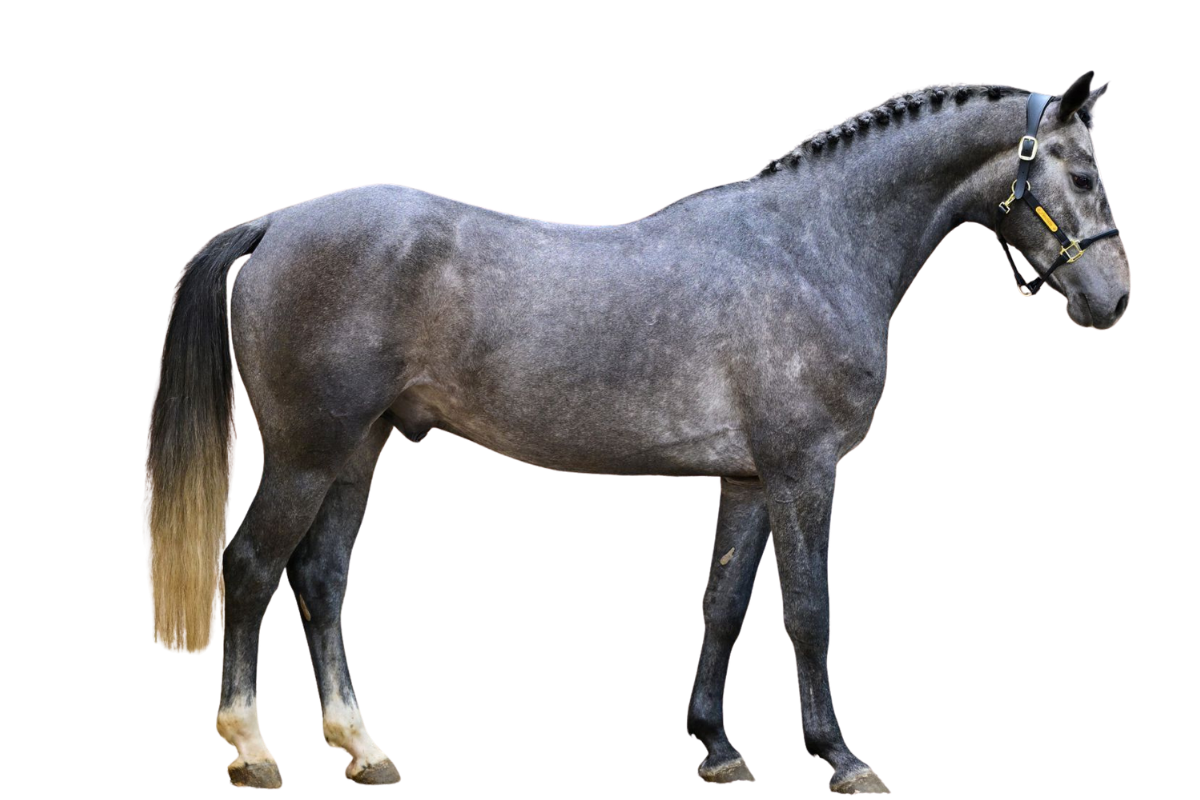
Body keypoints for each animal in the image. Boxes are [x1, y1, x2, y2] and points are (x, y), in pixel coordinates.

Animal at [143, 72, 1128, 792]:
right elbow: (808, 611)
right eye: (1081, 175)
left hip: (358, 451)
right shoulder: (804, 471)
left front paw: (718, 750)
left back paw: (363, 748)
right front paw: (844, 761)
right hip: (306, 454)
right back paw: (252, 749)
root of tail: (277, 222)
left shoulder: (749, 479)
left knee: (321, 580)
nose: (1114, 300)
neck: (807, 249)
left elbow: (723, 606)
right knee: (252, 569)